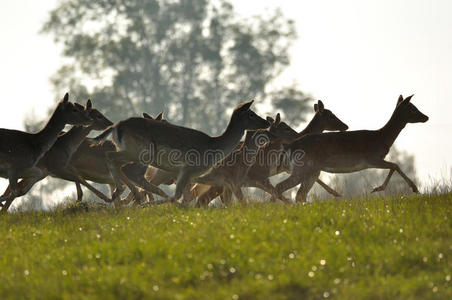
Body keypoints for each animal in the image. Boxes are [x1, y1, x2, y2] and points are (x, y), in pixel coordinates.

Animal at [95, 101, 270, 204]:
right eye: (251, 114)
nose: (267, 122)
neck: (213, 148)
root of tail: (116, 126)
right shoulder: (188, 168)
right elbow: (179, 196)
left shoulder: (188, 174)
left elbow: (186, 197)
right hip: (139, 153)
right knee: (117, 162)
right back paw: (124, 193)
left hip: (130, 152)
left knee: (122, 166)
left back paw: (124, 194)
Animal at [192, 101, 348, 206]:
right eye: (331, 115)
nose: (345, 126)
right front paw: (337, 193)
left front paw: (336, 193)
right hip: (222, 183)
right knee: (203, 197)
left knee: (207, 197)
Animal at [276, 94, 428, 202]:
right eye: (413, 108)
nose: (426, 117)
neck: (382, 139)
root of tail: (289, 147)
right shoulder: (371, 158)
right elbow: (395, 165)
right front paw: (413, 188)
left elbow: (394, 166)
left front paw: (378, 188)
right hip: (303, 168)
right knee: (281, 187)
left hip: (311, 171)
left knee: (299, 194)